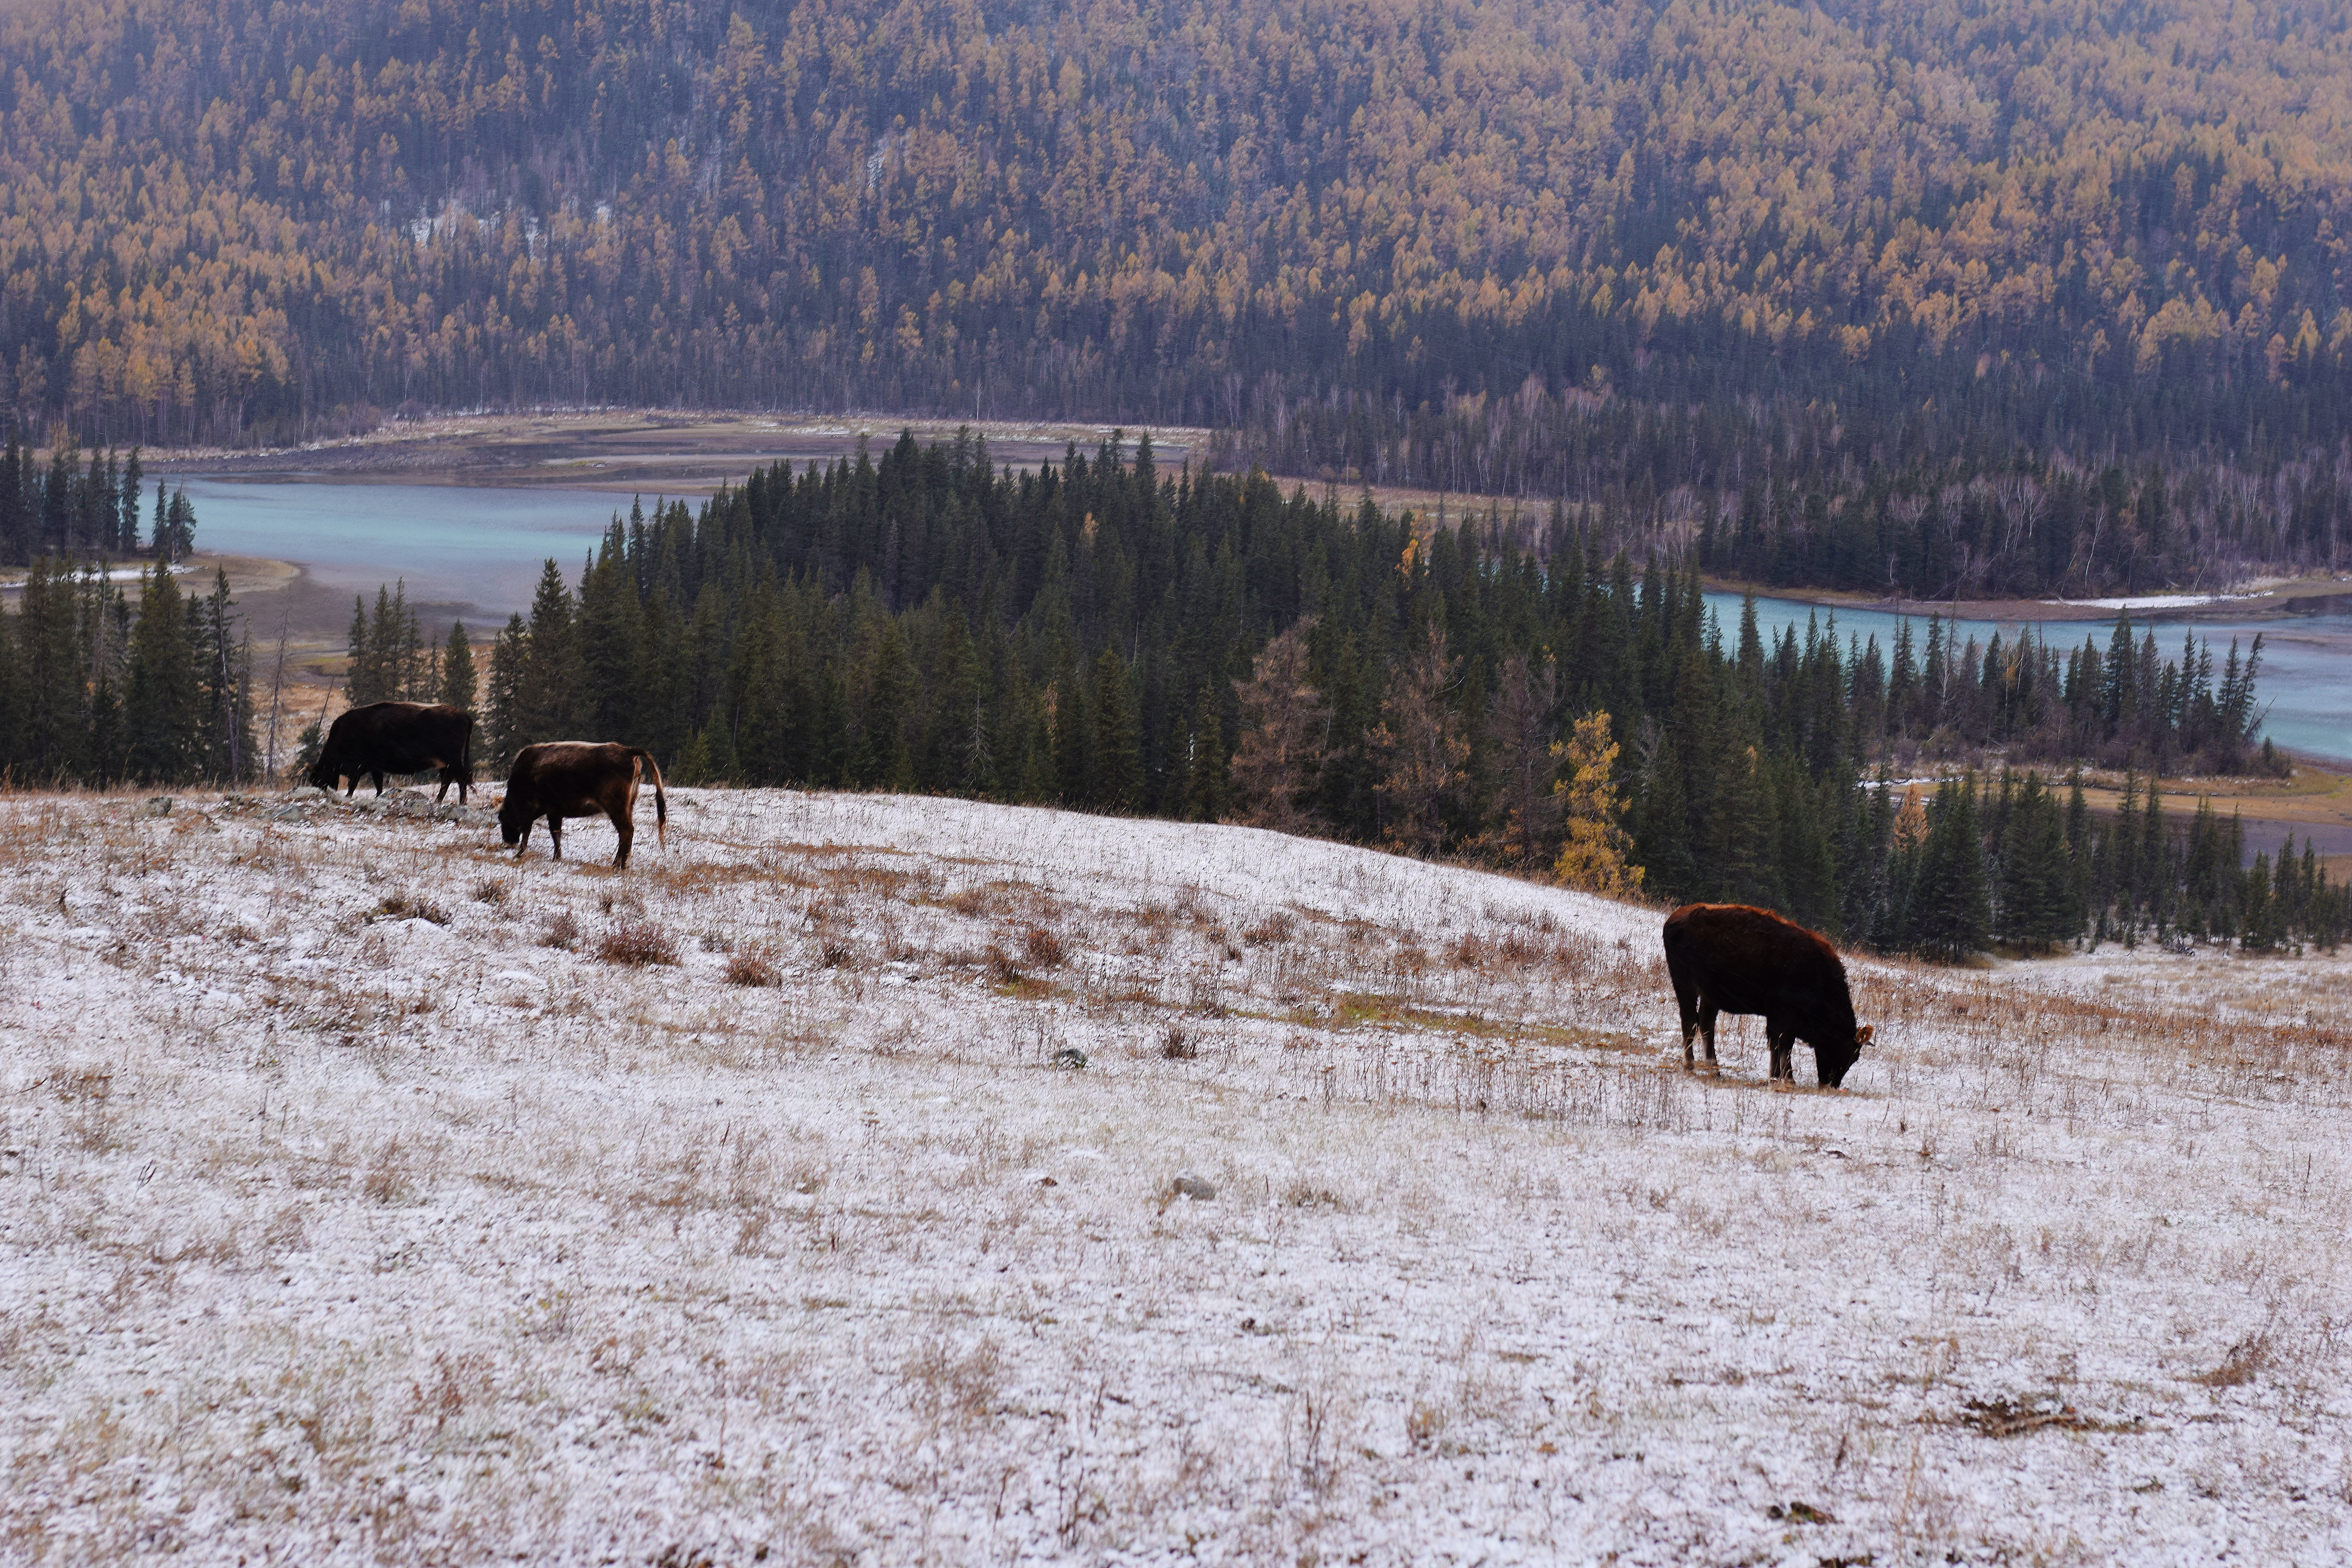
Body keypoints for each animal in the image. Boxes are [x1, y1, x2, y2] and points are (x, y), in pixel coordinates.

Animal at [313, 701, 477, 804]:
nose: (321, 793)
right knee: (449, 780)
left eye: (320, 778)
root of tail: (464, 715)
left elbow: (353, 786)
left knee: (460, 779)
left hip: (452, 760)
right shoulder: (375, 768)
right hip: (445, 763)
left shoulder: (358, 769)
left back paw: (461, 803)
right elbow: (379, 786)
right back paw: (440, 801)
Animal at [499, 748, 673, 869]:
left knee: (627, 831)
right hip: (627, 807)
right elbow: (556, 834)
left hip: (616, 808)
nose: (508, 841)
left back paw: (621, 866)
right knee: (624, 833)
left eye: (502, 819)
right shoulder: (555, 812)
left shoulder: (535, 812)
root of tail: (628, 751)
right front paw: (557, 858)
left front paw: (520, 854)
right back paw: (617, 864)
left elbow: (530, 832)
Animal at [1656, 907, 1872, 1091]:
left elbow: (1786, 1047)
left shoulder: (1789, 1022)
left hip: (1710, 996)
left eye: (1855, 1059)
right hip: (1685, 984)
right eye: (1843, 1051)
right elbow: (1778, 1045)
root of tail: (1674, 919)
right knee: (1690, 1020)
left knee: (1706, 1025)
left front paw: (1789, 1080)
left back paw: (1714, 1070)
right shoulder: (1781, 1016)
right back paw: (1690, 1065)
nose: (1831, 1085)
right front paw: (1776, 1078)